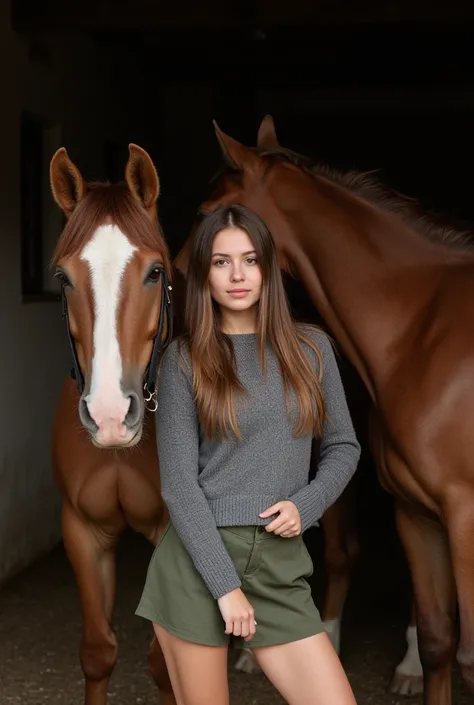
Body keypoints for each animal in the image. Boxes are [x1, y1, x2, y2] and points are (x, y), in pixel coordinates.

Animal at [175, 117, 474, 704]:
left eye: (205, 212)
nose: (173, 280)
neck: (424, 331)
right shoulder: (418, 513)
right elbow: (438, 641)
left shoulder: (466, 516)